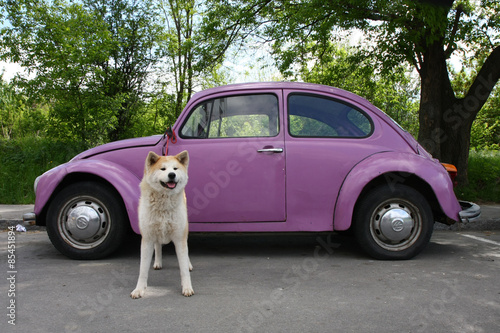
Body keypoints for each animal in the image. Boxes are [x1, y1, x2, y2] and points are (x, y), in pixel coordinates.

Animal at [131, 150, 193, 298]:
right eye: (163, 169)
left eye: (175, 169)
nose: (172, 175)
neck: (164, 204)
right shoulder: (147, 238)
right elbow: (143, 270)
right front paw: (139, 289)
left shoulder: (179, 237)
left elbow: (183, 268)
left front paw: (187, 287)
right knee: (158, 246)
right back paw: (158, 262)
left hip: (185, 230)